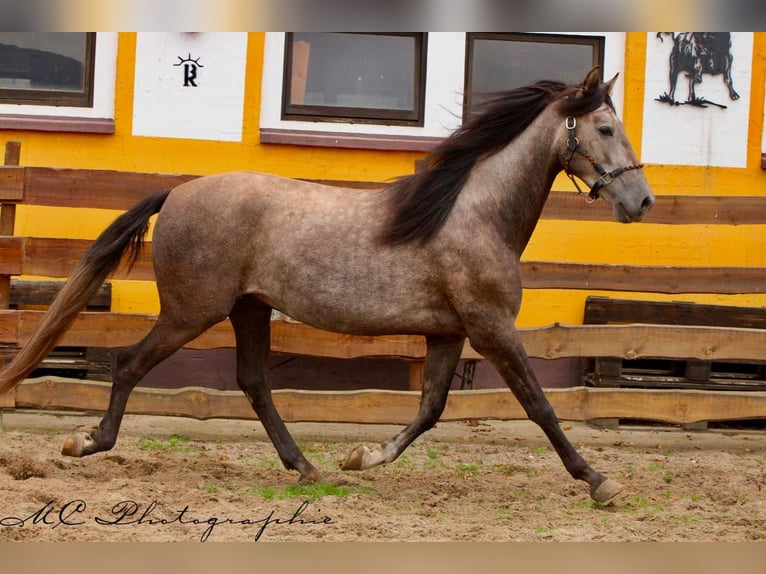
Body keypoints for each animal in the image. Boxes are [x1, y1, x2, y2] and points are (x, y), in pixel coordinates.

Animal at [0, 67, 653, 503]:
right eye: (604, 127)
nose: (641, 201)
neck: (472, 214)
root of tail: (177, 192)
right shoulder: (491, 328)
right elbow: (538, 404)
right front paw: (599, 481)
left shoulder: (449, 333)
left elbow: (431, 409)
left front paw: (362, 456)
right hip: (192, 312)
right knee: (130, 362)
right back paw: (87, 443)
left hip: (247, 309)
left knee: (253, 383)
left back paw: (307, 467)